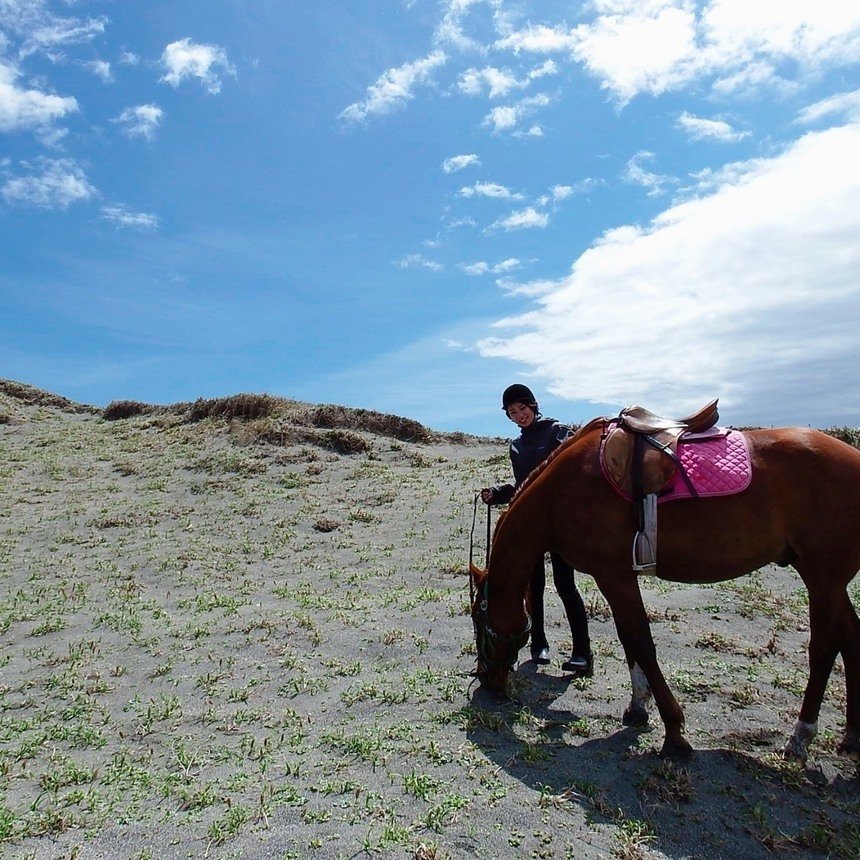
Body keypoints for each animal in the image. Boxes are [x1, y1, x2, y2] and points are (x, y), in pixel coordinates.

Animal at [470, 416, 860, 760]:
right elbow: (629, 640)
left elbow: (640, 641)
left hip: (822, 576)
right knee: (850, 637)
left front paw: (673, 732)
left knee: (824, 647)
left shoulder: (614, 575)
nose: (487, 679)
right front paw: (637, 707)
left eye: (478, 620)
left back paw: (801, 736)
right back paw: (850, 737)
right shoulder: (617, 577)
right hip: (823, 576)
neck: (562, 491)